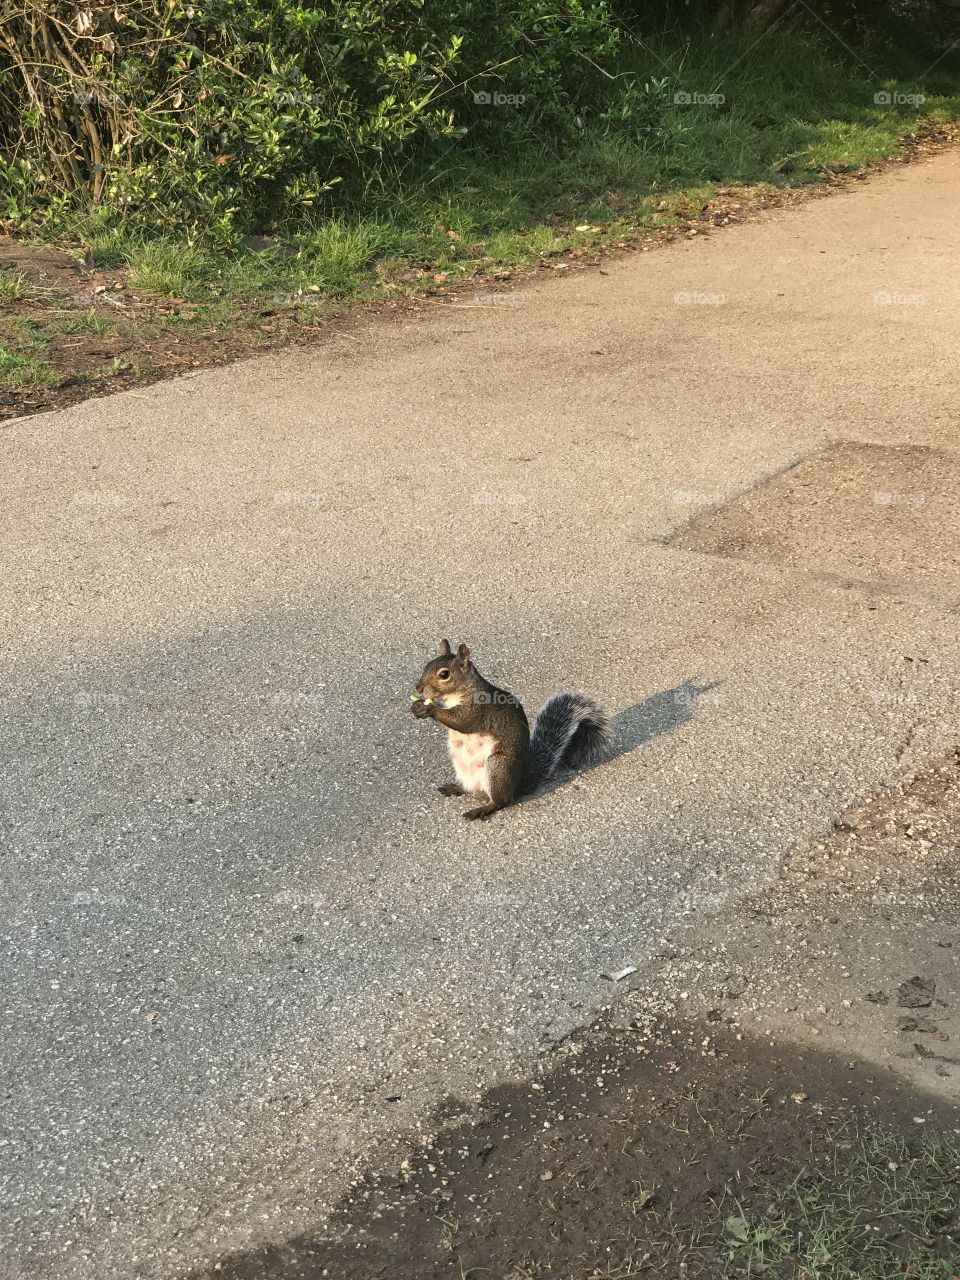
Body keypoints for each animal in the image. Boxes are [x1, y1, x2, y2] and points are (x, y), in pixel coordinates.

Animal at [410, 639, 610, 820]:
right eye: (427, 665)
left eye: (444, 674)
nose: (418, 687)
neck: (456, 693)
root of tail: (518, 782)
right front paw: (418, 706)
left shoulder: (479, 708)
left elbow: (463, 721)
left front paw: (429, 708)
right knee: (472, 789)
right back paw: (455, 787)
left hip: (498, 767)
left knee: (502, 801)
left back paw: (480, 810)